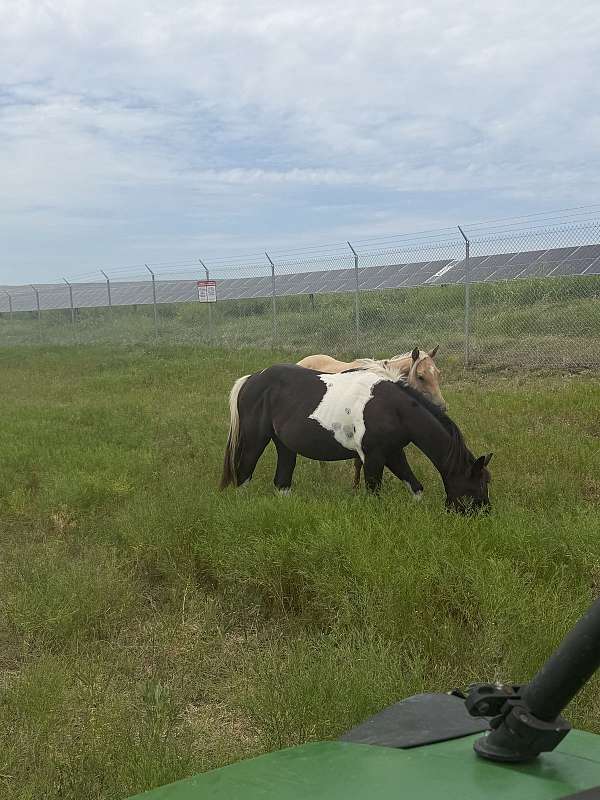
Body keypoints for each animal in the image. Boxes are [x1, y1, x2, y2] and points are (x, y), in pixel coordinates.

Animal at [220, 364, 492, 513]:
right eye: (478, 483)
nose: (485, 514)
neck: (394, 408)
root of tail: (250, 379)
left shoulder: (393, 452)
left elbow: (415, 487)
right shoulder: (373, 457)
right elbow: (374, 494)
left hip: (285, 446)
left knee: (281, 483)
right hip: (255, 440)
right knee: (243, 474)